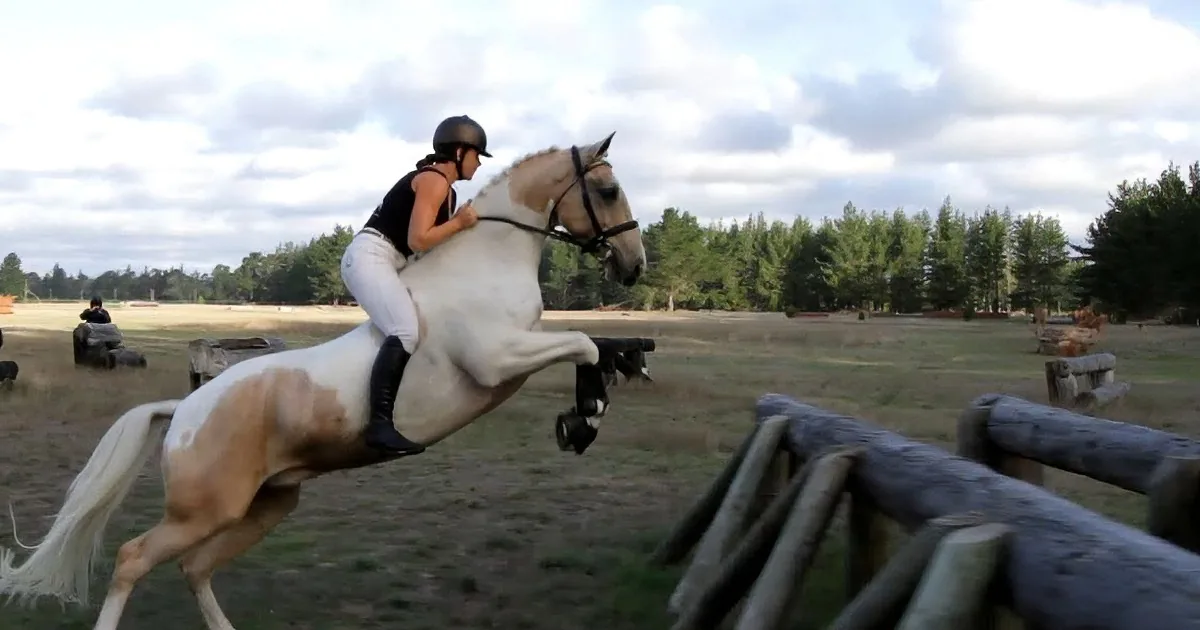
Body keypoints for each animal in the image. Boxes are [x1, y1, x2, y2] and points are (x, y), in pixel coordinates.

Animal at [0, 131, 648, 630]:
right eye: (608, 191)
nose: (634, 265)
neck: (485, 260)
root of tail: (182, 410)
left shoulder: (517, 351)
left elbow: (594, 344)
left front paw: (606, 388)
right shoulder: (497, 359)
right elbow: (583, 342)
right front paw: (585, 418)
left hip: (266, 503)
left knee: (195, 567)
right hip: (204, 510)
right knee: (134, 559)